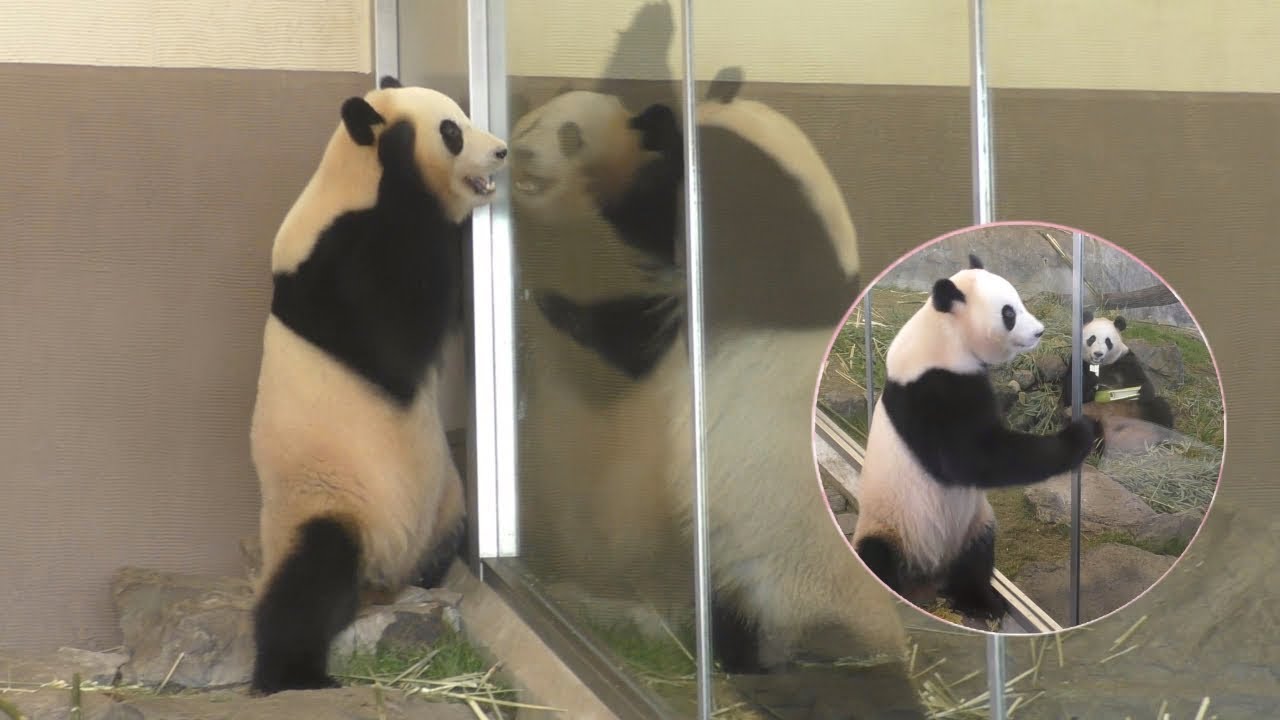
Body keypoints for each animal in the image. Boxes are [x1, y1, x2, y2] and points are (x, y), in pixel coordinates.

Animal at [247, 75, 507, 694]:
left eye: (463, 117)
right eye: (452, 130)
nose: (501, 152)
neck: (355, 179)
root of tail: (385, 576)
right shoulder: (342, 262)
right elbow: (400, 329)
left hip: (445, 502)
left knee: (442, 544)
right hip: (326, 500)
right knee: (307, 583)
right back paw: (293, 675)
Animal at [851, 254, 1099, 621]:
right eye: (1009, 313)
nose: (1039, 331)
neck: (943, 335)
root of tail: (927, 577)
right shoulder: (932, 392)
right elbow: (973, 457)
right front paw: (1079, 435)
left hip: (973, 523)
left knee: (976, 556)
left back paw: (981, 602)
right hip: (891, 524)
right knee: (877, 557)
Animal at [1058, 311, 1175, 443]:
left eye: (1108, 341)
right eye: (1092, 339)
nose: (1098, 354)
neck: (1100, 365)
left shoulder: (1124, 360)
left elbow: (1140, 380)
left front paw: (1143, 391)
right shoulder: (1079, 363)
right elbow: (1071, 393)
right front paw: (1094, 388)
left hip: (1140, 410)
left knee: (1160, 408)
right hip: (1090, 416)